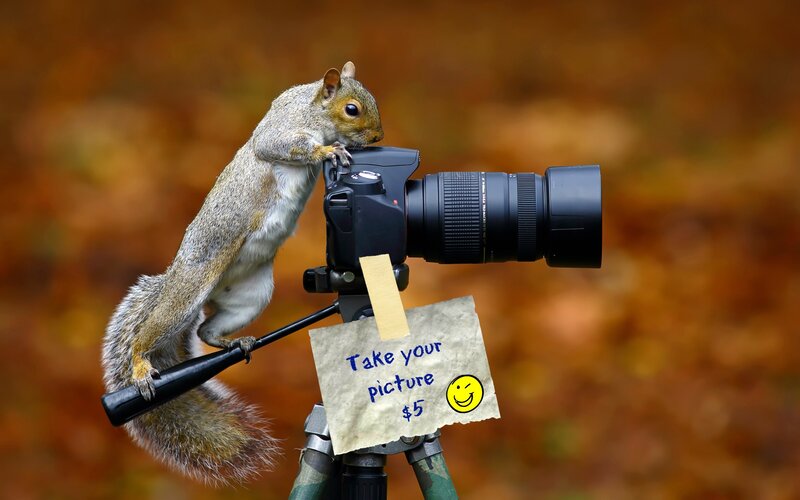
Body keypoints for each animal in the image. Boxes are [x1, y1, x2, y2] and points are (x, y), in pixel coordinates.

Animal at [101, 62, 383, 485]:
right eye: (352, 109)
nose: (378, 137)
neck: (311, 106)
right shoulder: (281, 129)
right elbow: (277, 146)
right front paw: (328, 150)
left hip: (251, 296)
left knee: (205, 330)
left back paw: (237, 343)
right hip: (188, 294)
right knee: (150, 332)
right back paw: (140, 368)